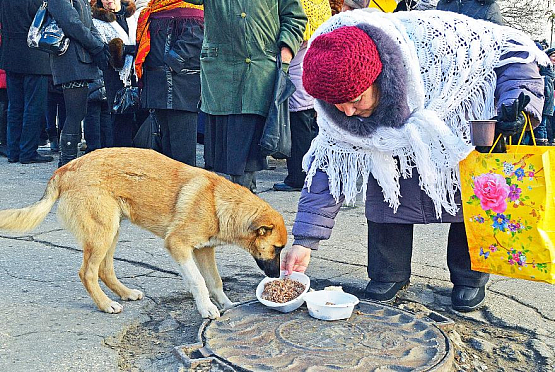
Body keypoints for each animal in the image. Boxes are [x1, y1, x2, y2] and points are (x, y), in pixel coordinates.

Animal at [0, 148, 286, 320]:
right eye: (276, 249)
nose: (276, 277)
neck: (218, 203)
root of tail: (64, 169)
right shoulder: (178, 245)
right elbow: (198, 281)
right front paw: (206, 308)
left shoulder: (205, 250)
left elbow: (215, 282)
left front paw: (226, 305)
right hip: (102, 233)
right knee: (88, 273)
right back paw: (105, 304)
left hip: (112, 230)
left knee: (105, 270)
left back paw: (124, 293)